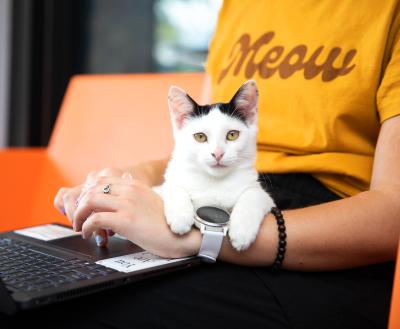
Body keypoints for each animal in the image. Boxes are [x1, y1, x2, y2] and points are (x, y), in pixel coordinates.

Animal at [156, 80, 276, 250]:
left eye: (232, 135)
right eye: (200, 137)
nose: (218, 153)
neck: (215, 182)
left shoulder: (266, 198)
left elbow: (254, 195)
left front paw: (242, 231)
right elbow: (172, 187)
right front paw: (180, 216)